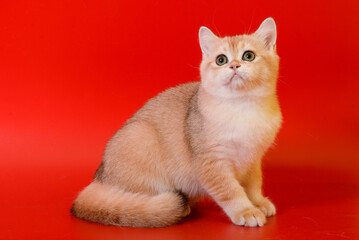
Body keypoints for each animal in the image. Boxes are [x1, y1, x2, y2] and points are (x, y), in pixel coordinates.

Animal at [71, 17, 282, 228]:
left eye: (248, 56)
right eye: (221, 60)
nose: (235, 66)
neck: (242, 108)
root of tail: (99, 178)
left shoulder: (252, 160)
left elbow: (253, 186)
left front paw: (258, 202)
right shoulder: (211, 163)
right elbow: (230, 191)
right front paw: (246, 211)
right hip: (140, 135)